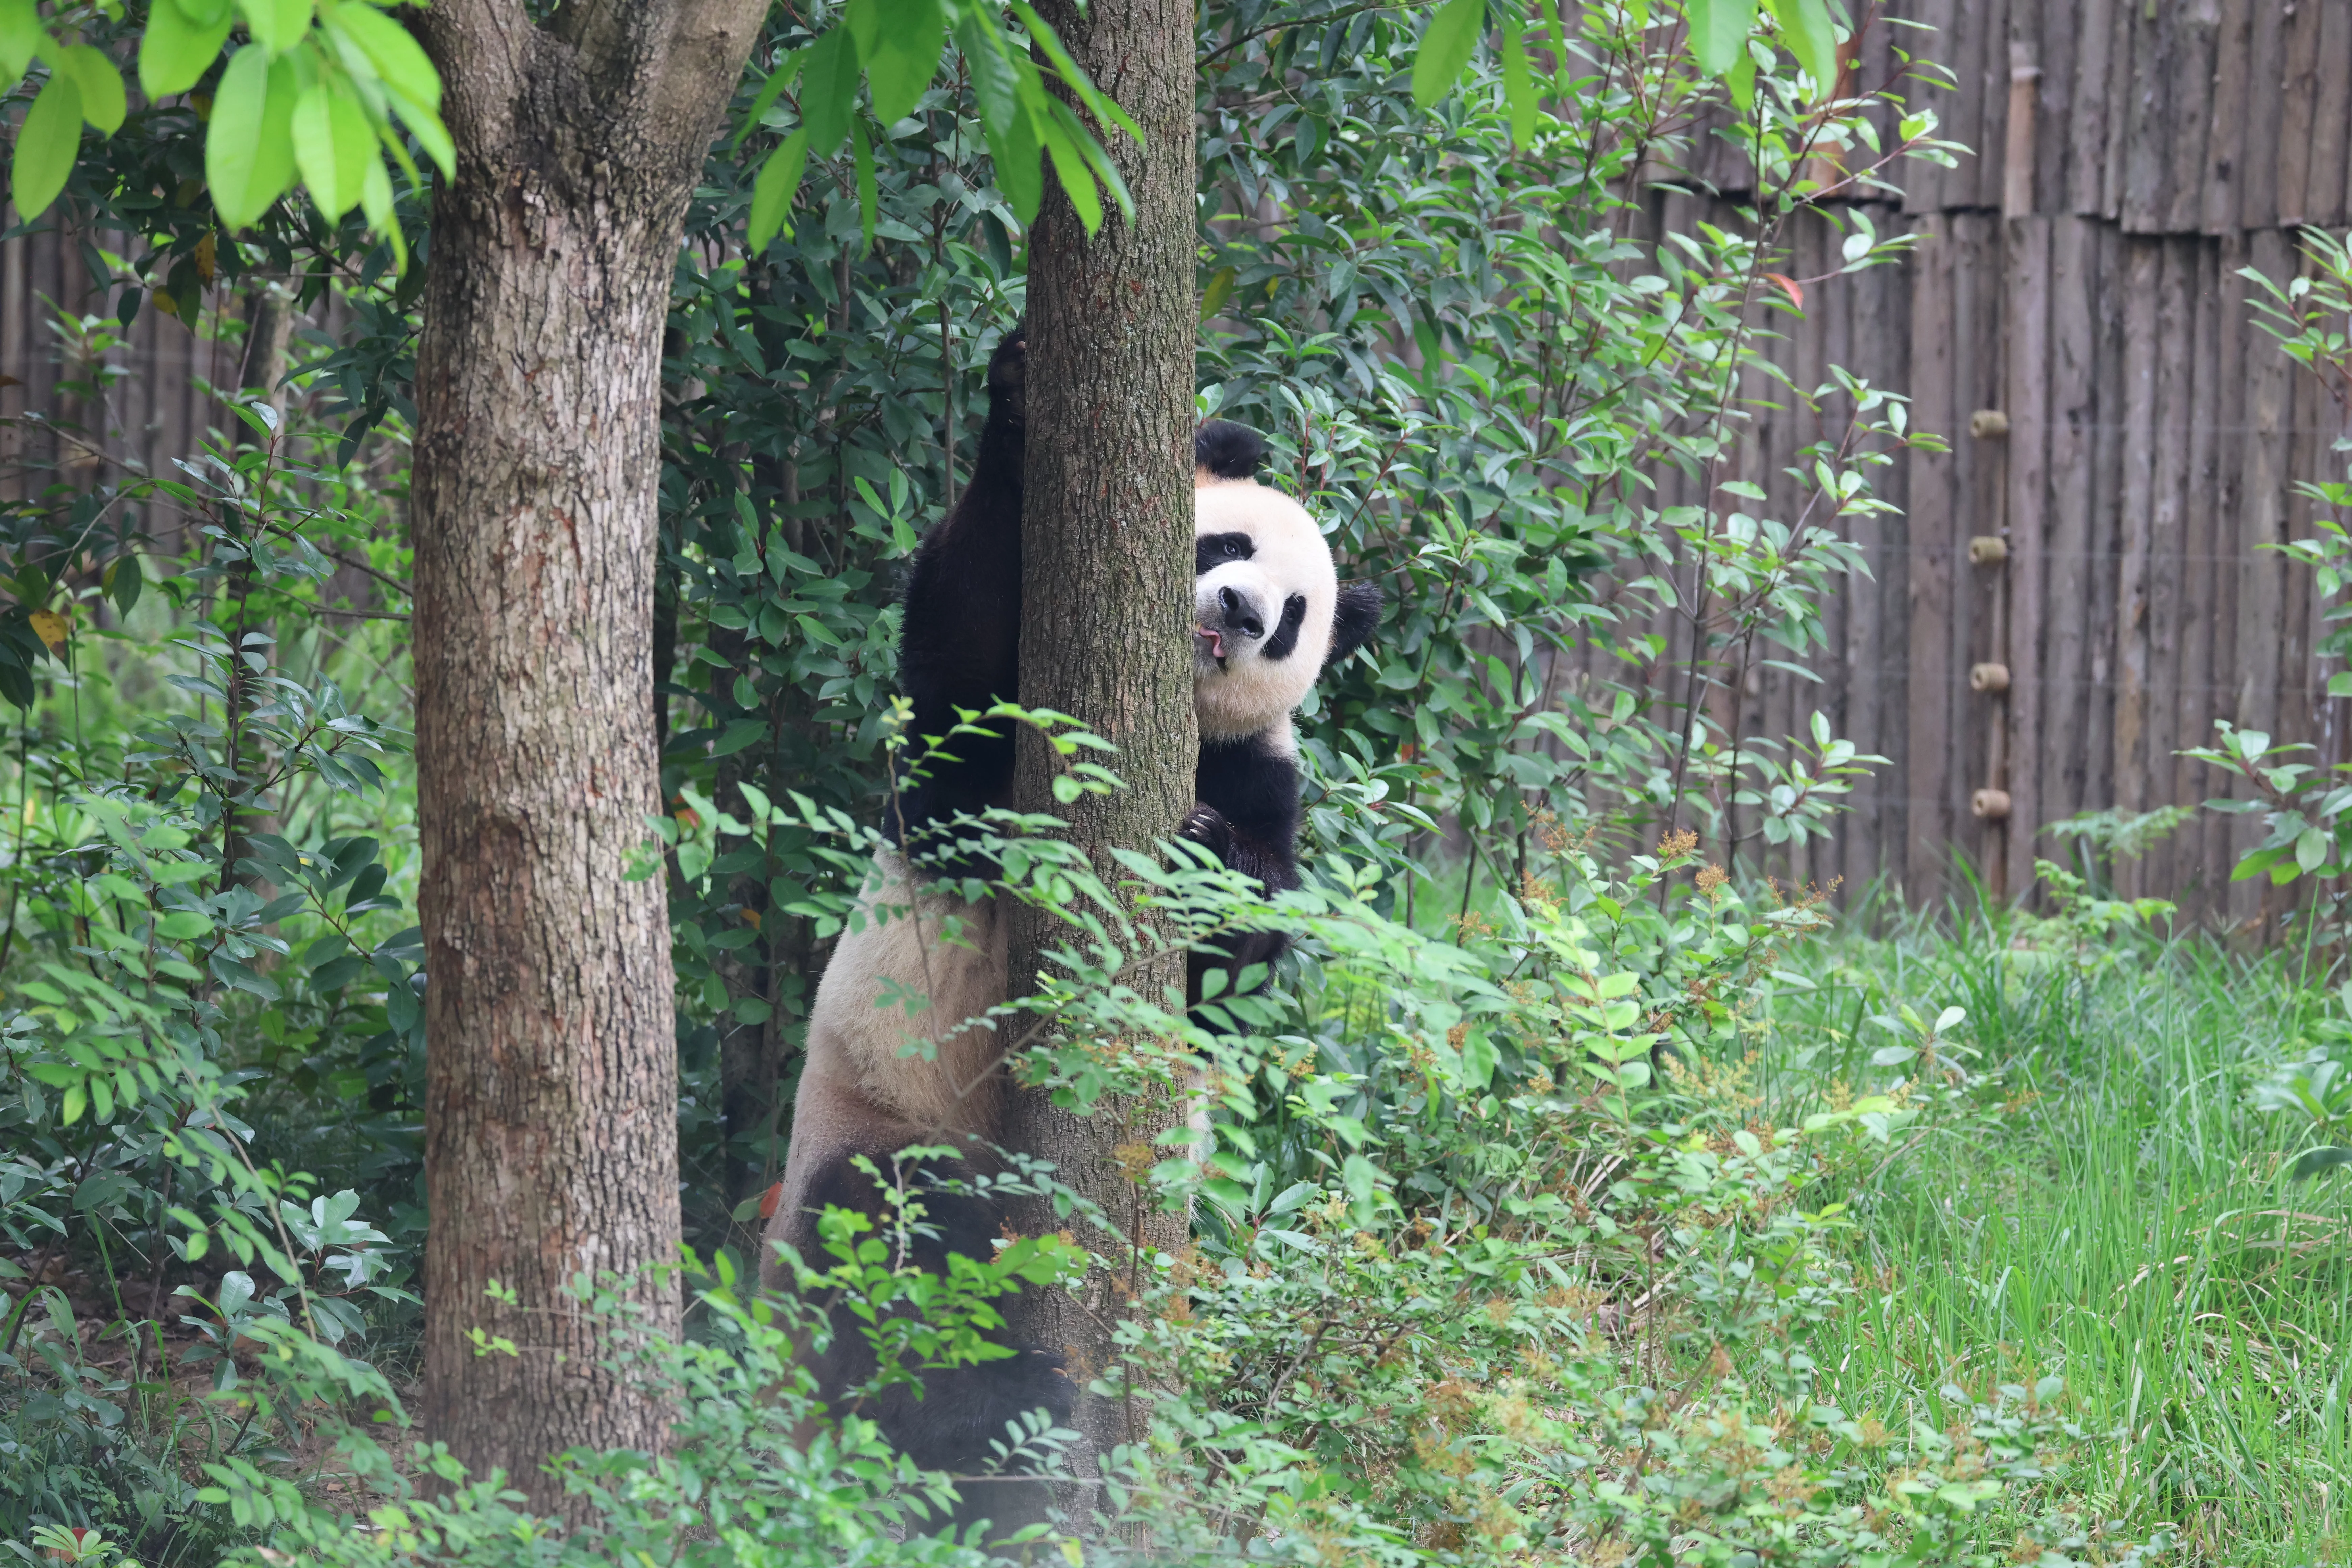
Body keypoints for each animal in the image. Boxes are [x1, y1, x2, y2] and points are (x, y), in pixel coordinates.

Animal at [761, 324, 1380, 1491]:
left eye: (1294, 619)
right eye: (1224, 543)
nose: (1241, 610)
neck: (1185, 728)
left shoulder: (1261, 773)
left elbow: (1232, 970)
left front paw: (1205, 858)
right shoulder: (975, 730)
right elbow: (956, 691)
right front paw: (1015, 395)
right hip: (884, 1113)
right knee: (903, 1242)